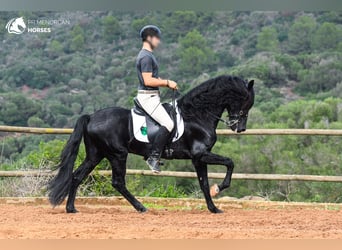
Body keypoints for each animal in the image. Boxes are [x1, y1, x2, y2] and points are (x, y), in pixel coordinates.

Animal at [48, 74, 254, 213]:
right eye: (246, 102)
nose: (240, 128)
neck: (197, 115)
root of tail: (91, 116)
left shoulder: (198, 159)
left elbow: (204, 183)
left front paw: (213, 208)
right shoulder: (201, 154)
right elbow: (230, 163)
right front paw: (218, 188)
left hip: (96, 154)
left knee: (77, 175)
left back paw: (71, 208)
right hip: (117, 155)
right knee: (118, 182)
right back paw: (141, 207)